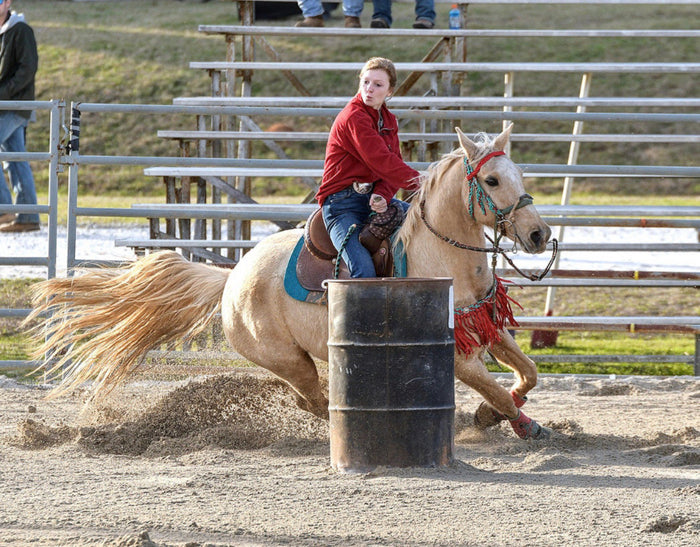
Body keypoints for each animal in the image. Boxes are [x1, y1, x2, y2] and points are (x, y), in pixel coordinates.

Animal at [26, 124, 553, 440]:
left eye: (519, 173)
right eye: (491, 181)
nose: (538, 234)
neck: (442, 256)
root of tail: (231, 279)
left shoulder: (486, 326)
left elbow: (527, 373)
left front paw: (496, 416)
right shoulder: (457, 354)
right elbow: (497, 388)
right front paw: (517, 423)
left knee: (309, 399)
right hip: (287, 359)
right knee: (310, 398)